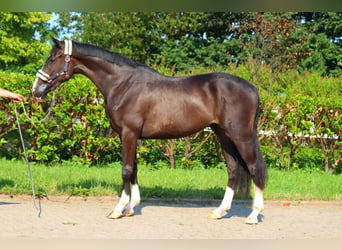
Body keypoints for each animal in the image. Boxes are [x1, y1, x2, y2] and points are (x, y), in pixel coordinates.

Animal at [32, 37, 268, 225]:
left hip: (240, 136)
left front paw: (118, 209)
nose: (36, 89)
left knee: (254, 168)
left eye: (52, 59)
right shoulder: (129, 135)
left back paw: (253, 215)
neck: (123, 84)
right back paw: (219, 211)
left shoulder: (129, 133)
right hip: (223, 135)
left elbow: (126, 170)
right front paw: (131, 207)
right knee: (233, 169)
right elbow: (134, 169)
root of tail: (252, 88)